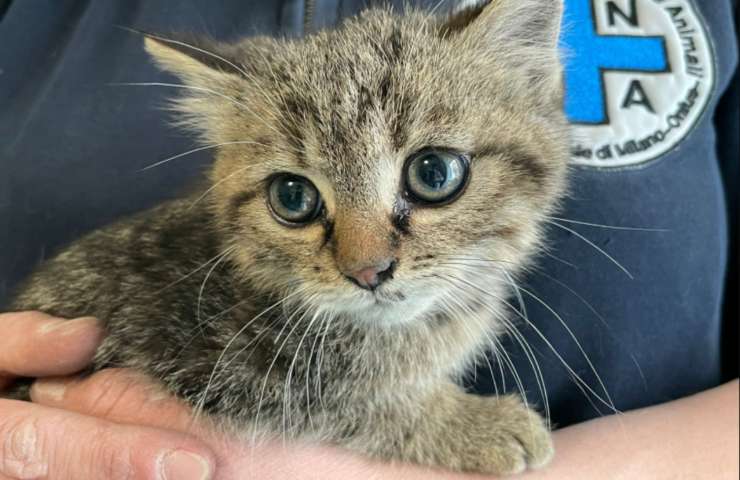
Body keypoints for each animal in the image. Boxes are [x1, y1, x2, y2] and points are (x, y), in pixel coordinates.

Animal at [10, 0, 568, 472]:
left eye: (434, 173)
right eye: (292, 197)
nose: (368, 271)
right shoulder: (214, 371)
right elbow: (358, 405)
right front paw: (472, 424)